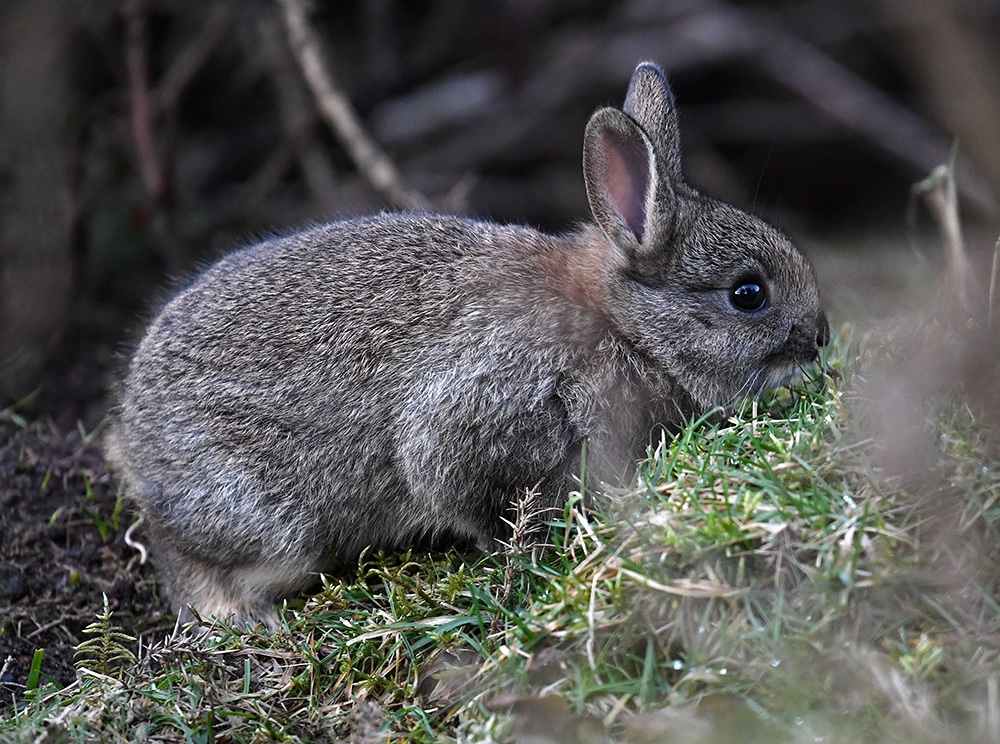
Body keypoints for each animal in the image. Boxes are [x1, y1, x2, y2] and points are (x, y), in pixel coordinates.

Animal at [107, 62, 829, 629]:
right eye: (748, 294)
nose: (818, 339)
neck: (628, 329)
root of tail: (136, 438)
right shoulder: (483, 409)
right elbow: (462, 489)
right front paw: (524, 558)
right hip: (267, 518)